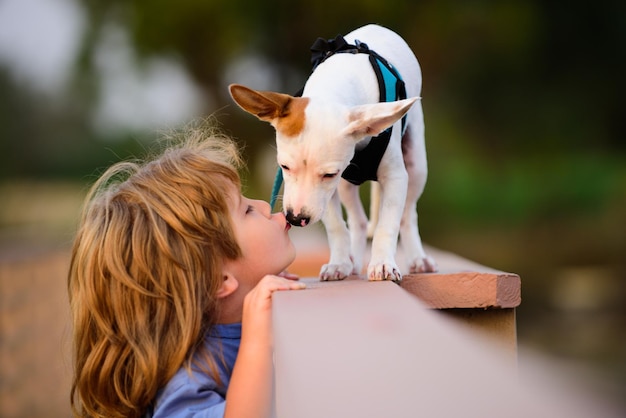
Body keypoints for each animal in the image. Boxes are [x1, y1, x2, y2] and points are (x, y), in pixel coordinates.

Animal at [228, 23, 434, 280]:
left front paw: (383, 264)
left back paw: (418, 259)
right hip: (347, 184)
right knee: (359, 221)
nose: (296, 219)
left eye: (329, 174)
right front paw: (339, 263)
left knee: (407, 215)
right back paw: (353, 261)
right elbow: (336, 225)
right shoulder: (328, 192)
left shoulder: (394, 177)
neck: (335, 85)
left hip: (416, 164)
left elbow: (387, 225)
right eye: (284, 166)